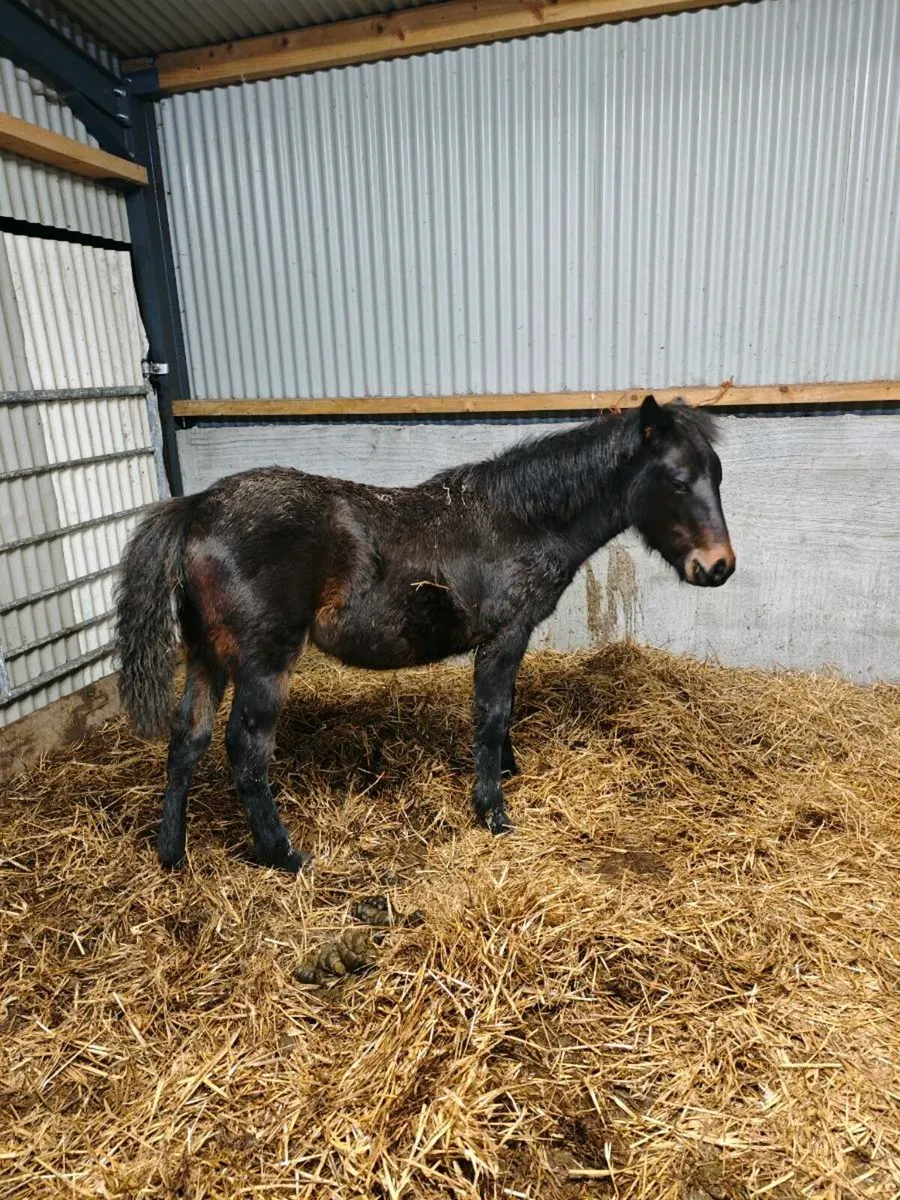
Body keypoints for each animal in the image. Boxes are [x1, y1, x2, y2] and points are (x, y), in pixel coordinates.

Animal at [115, 395, 735, 873]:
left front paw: (506, 770)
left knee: (187, 737)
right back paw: (284, 855)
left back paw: (173, 853)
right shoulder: (506, 634)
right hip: (263, 662)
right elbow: (493, 713)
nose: (719, 567)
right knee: (245, 749)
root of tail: (197, 507)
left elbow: (504, 707)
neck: (520, 520)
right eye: (678, 482)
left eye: (718, 476)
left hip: (207, 656)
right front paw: (493, 811)